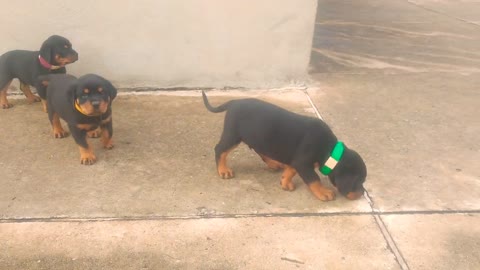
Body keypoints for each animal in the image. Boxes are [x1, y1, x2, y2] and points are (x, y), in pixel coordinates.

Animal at [202, 92, 368, 201]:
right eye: (358, 181)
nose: (362, 193)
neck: (330, 151)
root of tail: (234, 102)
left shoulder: (297, 162)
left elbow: (291, 171)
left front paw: (285, 182)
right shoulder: (303, 163)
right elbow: (314, 179)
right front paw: (323, 192)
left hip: (258, 136)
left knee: (258, 149)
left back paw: (273, 163)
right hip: (233, 135)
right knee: (220, 150)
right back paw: (223, 170)